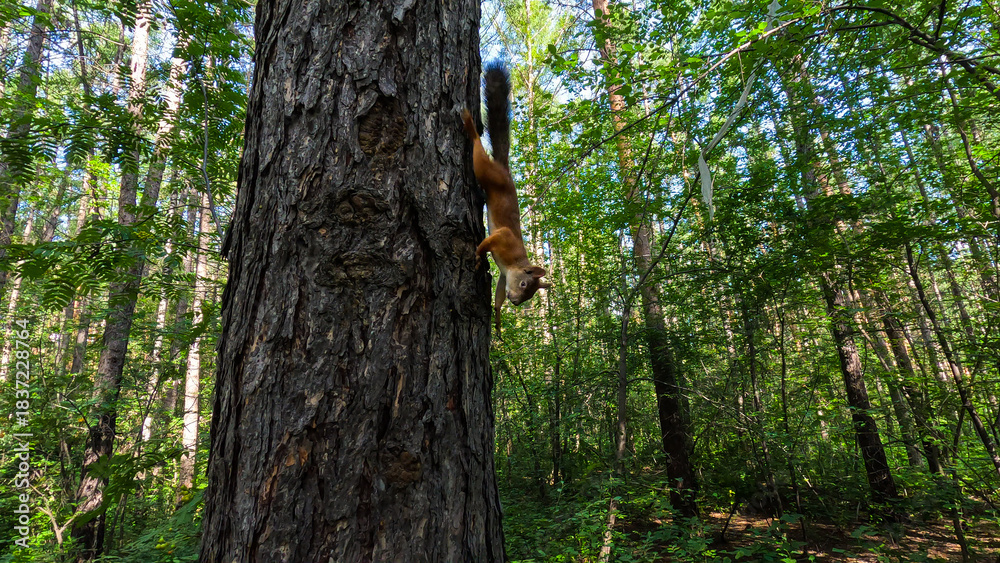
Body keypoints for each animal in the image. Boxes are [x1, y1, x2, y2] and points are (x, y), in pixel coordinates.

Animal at [462, 61, 551, 335]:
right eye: (524, 285)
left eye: (530, 294)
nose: (516, 302)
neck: (515, 262)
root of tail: (504, 170)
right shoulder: (503, 239)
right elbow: (487, 243)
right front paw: (478, 255)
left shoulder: (503, 275)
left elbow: (498, 293)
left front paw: (499, 317)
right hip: (487, 172)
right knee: (478, 150)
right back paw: (470, 124)